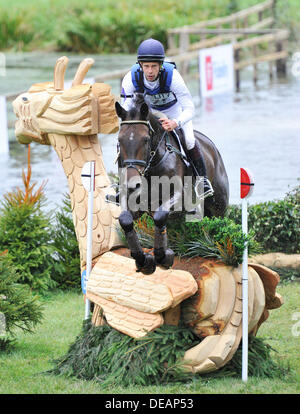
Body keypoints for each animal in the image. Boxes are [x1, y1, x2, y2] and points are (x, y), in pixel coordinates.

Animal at [115, 94, 230, 274]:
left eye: (145, 139)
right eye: (119, 140)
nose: (132, 184)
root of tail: (211, 146)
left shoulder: (178, 197)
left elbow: (160, 216)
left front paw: (163, 256)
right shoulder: (133, 202)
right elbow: (125, 220)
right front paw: (143, 260)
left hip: (219, 206)